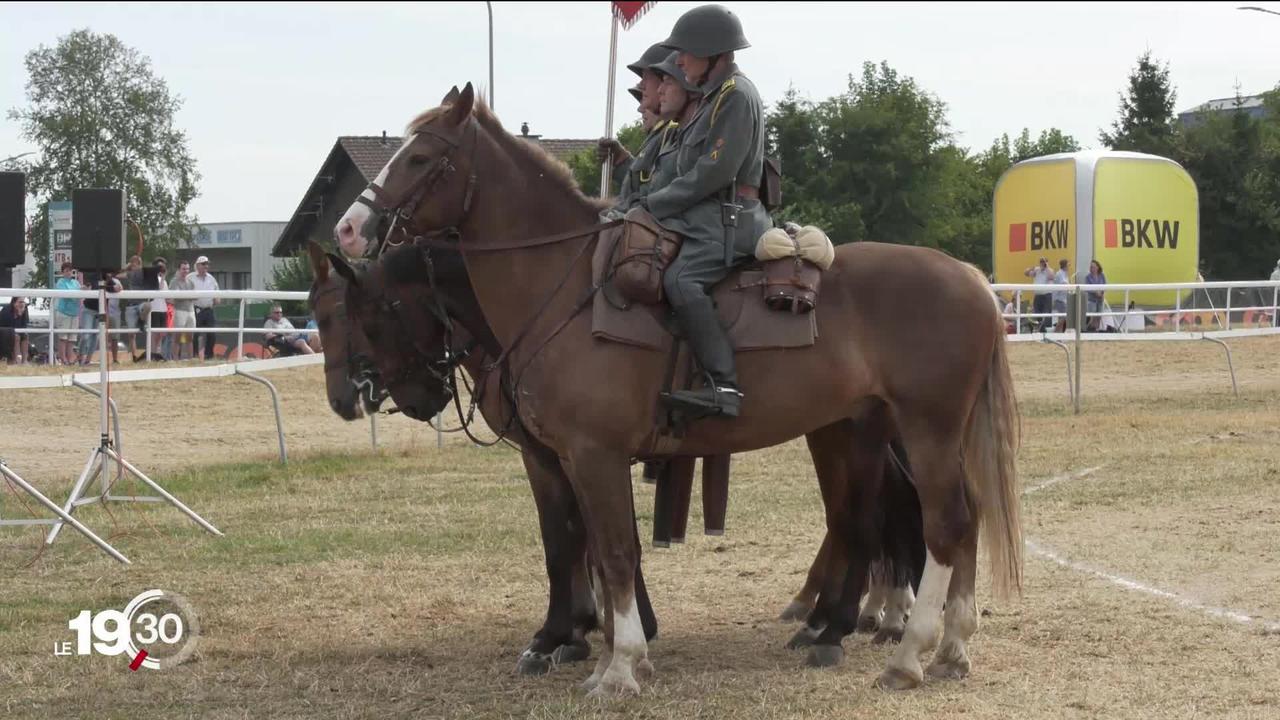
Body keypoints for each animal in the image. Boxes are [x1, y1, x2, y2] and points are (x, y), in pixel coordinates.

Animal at [332, 85, 1018, 696]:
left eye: (423, 156)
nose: (347, 227)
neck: (565, 287)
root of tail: (972, 280)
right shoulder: (564, 458)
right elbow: (592, 548)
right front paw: (593, 646)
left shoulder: (593, 454)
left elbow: (610, 552)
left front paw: (616, 665)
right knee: (944, 519)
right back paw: (946, 646)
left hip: (919, 430)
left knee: (940, 523)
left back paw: (905, 654)